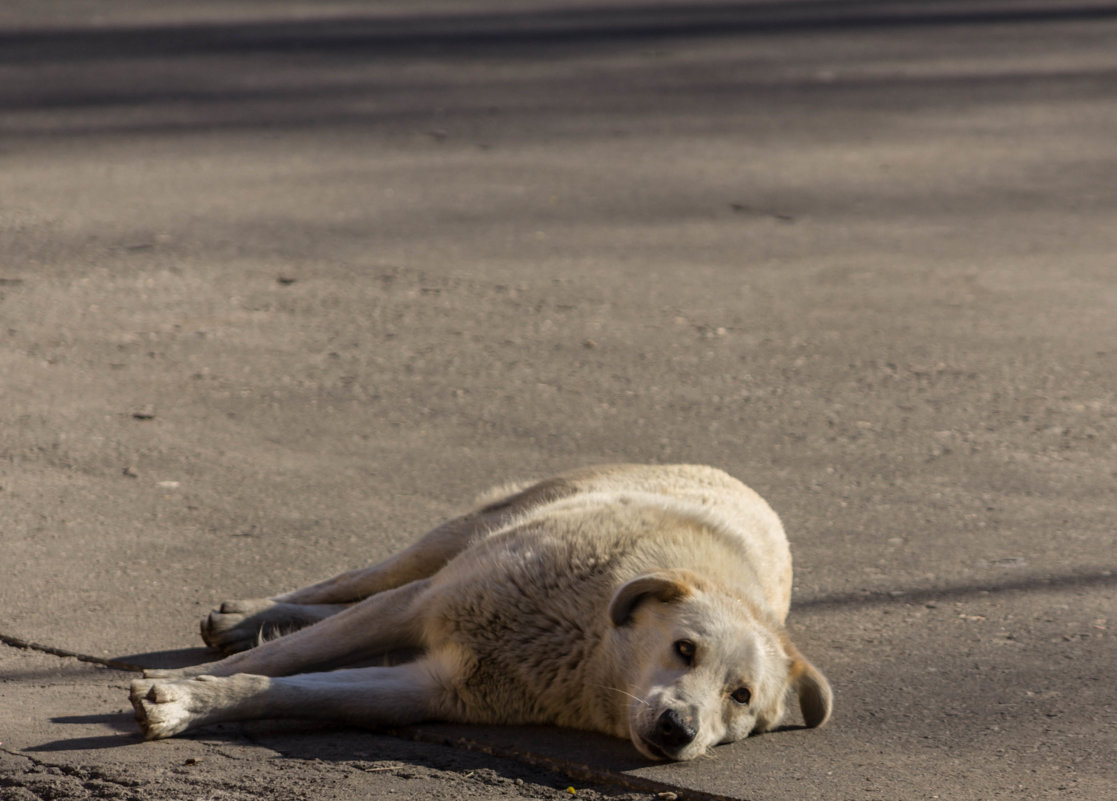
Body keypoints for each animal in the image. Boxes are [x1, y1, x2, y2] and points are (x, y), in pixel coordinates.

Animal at [130, 460, 831, 759]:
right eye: (685, 649)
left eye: (740, 697)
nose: (680, 731)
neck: (583, 638)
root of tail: (741, 481)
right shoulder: (422, 606)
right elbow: (282, 660)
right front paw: (180, 686)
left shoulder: (432, 689)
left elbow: (283, 687)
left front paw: (188, 702)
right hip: (458, 535)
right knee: (362, 579)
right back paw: (246, 615)